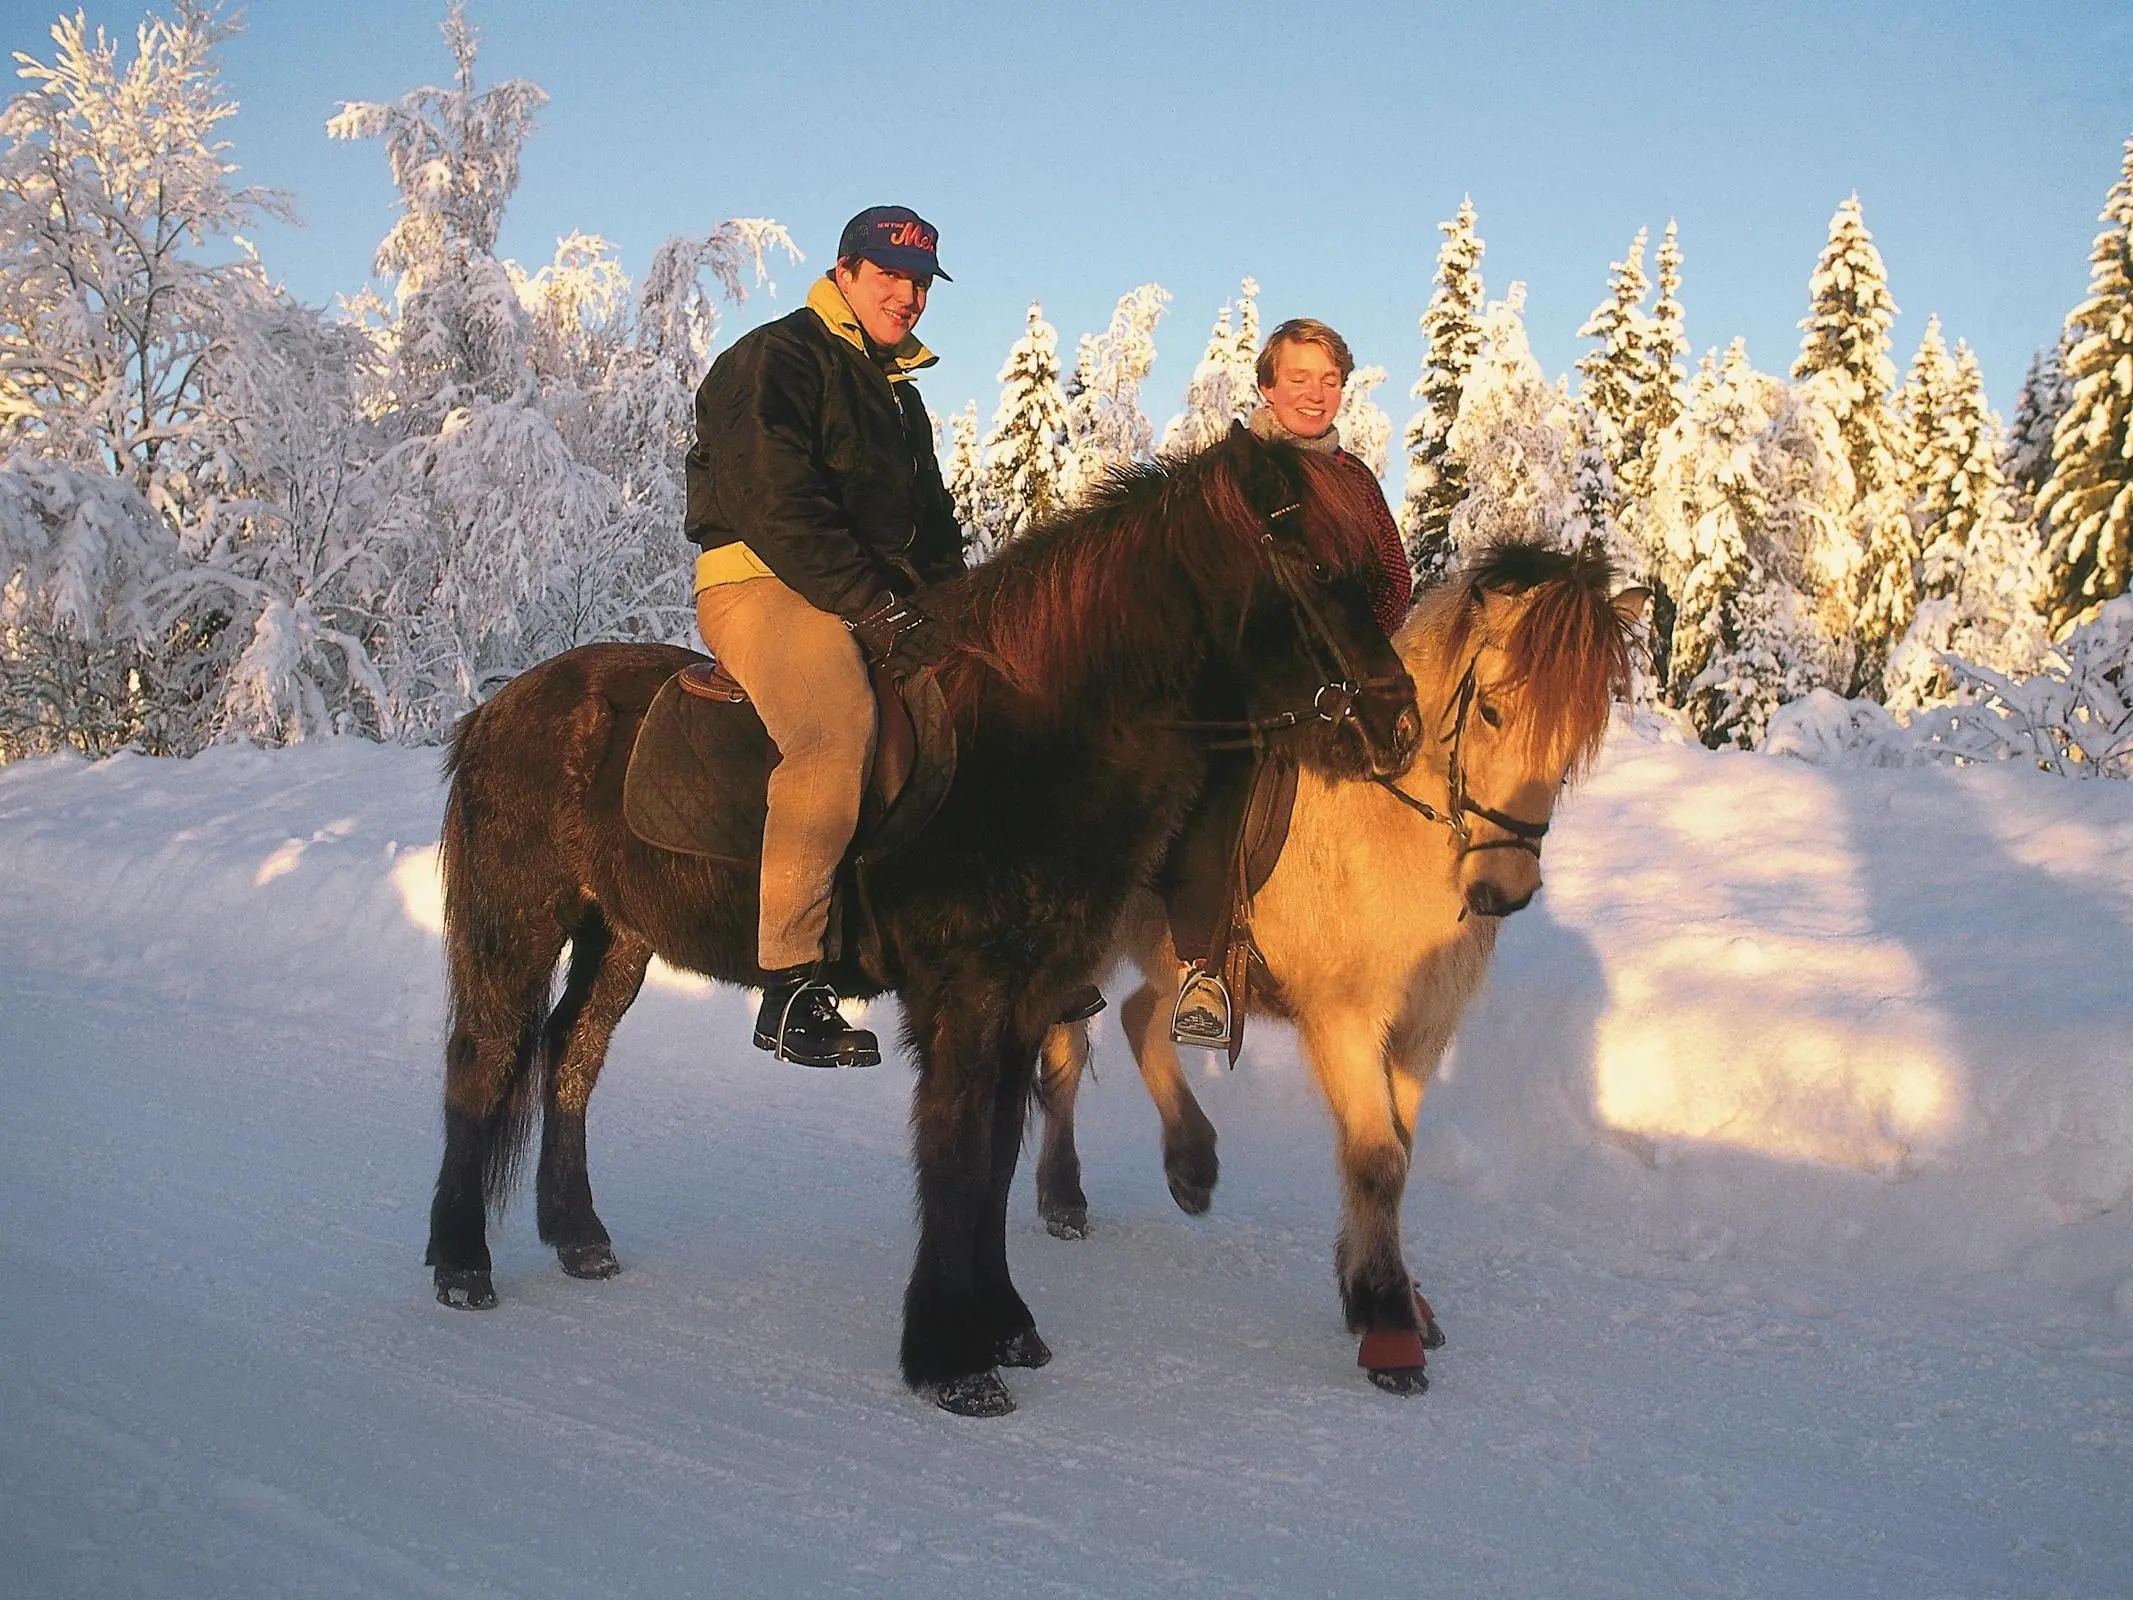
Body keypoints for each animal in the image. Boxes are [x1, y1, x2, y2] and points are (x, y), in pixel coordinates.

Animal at [420, 426, 1416, 1416]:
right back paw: (461, 1263)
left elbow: (997, 1159)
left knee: (571, 1056)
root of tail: (498, 707)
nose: (1397, 726)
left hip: (618, 938)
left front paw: (1003, 1323)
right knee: (484, 1061)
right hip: (515, 925)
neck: (1036, 735)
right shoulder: (962, 998)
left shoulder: (1026, 1001)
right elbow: (955, 1154)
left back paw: (577, 1235)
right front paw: (950, 1357)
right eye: (1316, 566)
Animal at [1032, 546, 1646, 1399]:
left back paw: (1192, 1163)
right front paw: (1388, 1325)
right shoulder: (1344, 1020)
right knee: (1065, 1048)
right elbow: (1377, 1159)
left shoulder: (1421, 1031)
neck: (1389, 831)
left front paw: (1380, 1293)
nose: (1505, 890)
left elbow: (1396, 1151)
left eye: (1581, 734)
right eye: (1491, 711)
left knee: (1137, 1019)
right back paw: (1063, 1195)